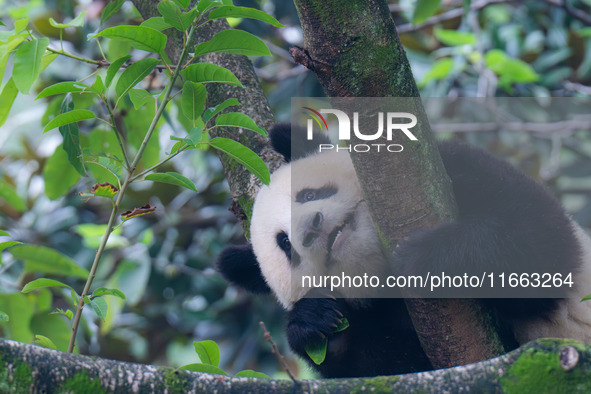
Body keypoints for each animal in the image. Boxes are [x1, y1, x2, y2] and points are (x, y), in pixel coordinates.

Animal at [216, 124, 591, 378]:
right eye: (284, 243)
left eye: (307, 194)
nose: (311, 228)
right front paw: (313, 321)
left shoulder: (451, 165)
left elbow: (537, 242)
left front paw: (426, 256)